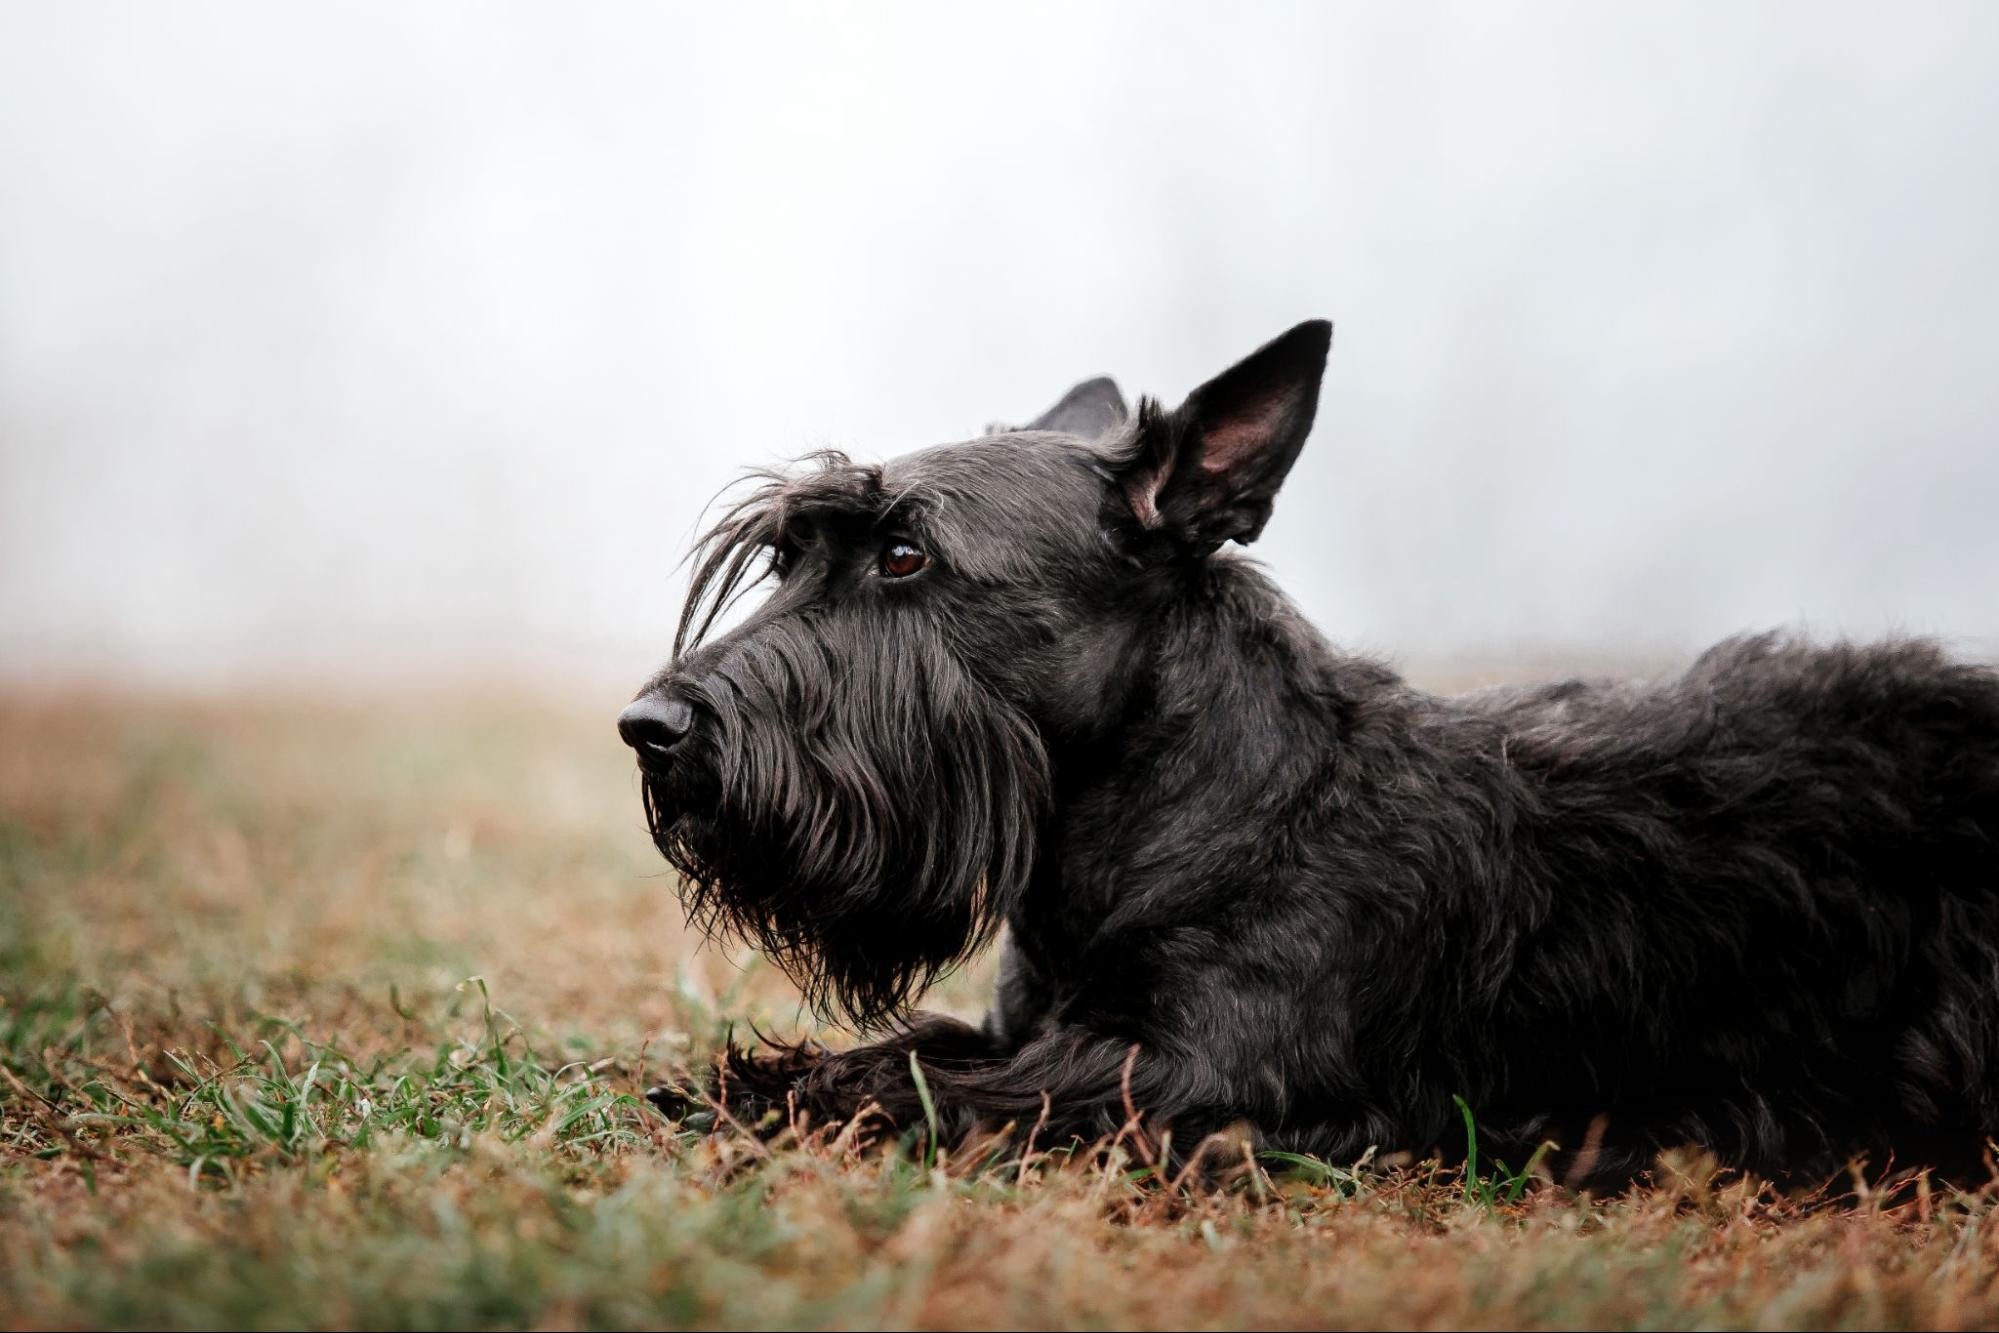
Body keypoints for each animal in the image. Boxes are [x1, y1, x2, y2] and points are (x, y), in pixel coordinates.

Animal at [615, 325, 1999, 1191]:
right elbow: (918, 1044)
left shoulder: (1204, 1079)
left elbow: (927, 1084)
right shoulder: (1039, 1023)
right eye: (791, 556)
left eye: (905, 556)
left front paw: (769, 1095)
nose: (651, 728)